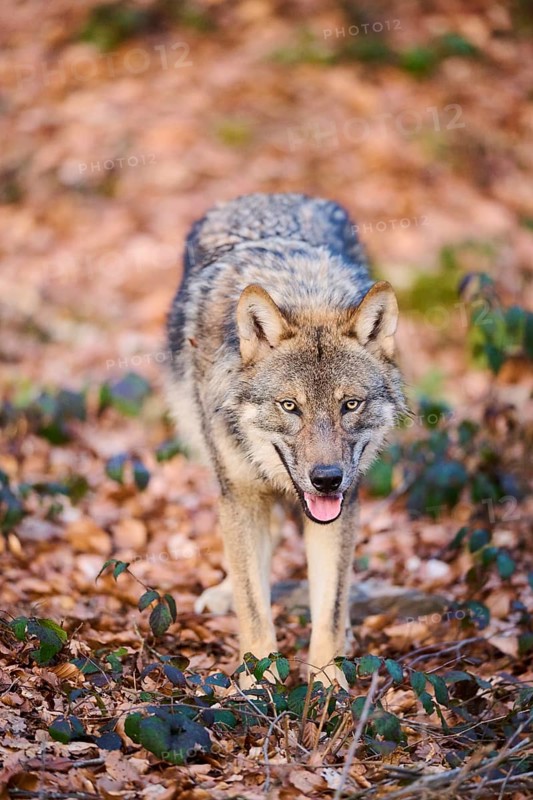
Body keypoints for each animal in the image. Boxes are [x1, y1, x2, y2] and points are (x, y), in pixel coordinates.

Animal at [166, 193, 406, 686]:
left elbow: (329, 608)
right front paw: (258, 683)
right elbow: (253, 606)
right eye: (290, 406)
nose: (327, 479)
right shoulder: (240, 495)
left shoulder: (344, 507)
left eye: (349, 405)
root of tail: (265, 195)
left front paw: (329, 685)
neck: (303, 293)